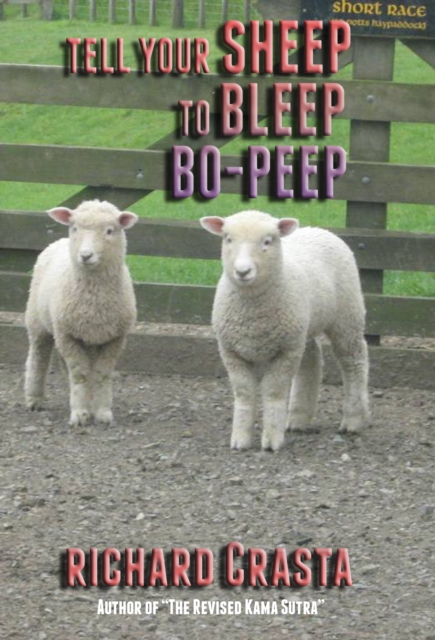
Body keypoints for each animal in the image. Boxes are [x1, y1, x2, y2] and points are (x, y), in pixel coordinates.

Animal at [24, 200, 138, 427]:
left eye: (110, 230)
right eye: (74, 228)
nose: (85, 255)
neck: (93, 300)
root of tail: (58, 241)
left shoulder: (114, 338)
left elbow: (101, 374)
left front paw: (102, 412)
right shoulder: (67, 335)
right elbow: (80, 375)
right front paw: (80, 414)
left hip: (82, 336)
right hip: (38, 322)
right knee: (38, 357)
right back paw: (34, 399)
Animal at [200, 210, 370, 451]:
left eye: (267, 241)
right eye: (228, 239)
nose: (242, 271)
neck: (252, 311)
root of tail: (319, 229)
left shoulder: (285, 352)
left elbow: (273, 392)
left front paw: (272, 440)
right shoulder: (231, 352)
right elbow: (244, 393)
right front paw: (240, 439)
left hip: (346, 317)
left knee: (354, 362)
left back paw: (353, 421)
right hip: (302, 329)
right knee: (311, 360)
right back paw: (298, 419)